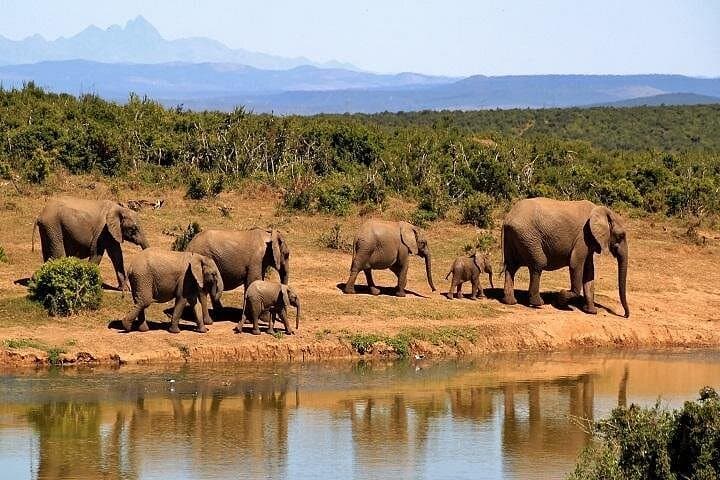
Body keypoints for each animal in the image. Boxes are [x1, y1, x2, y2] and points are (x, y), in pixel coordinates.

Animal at [501, 197, 629, 317]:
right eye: (621, 236)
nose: (625, 315)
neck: (602, 210)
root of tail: (507, 218)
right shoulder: (583, 237)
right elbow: (576, 265)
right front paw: (561, 299)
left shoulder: (589, 241)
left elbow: (589, 272)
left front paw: (591, 311)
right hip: (528, 237)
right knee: (538, 264)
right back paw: (538, 303)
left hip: (516, 237)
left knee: (511, 266)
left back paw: (510, 302)